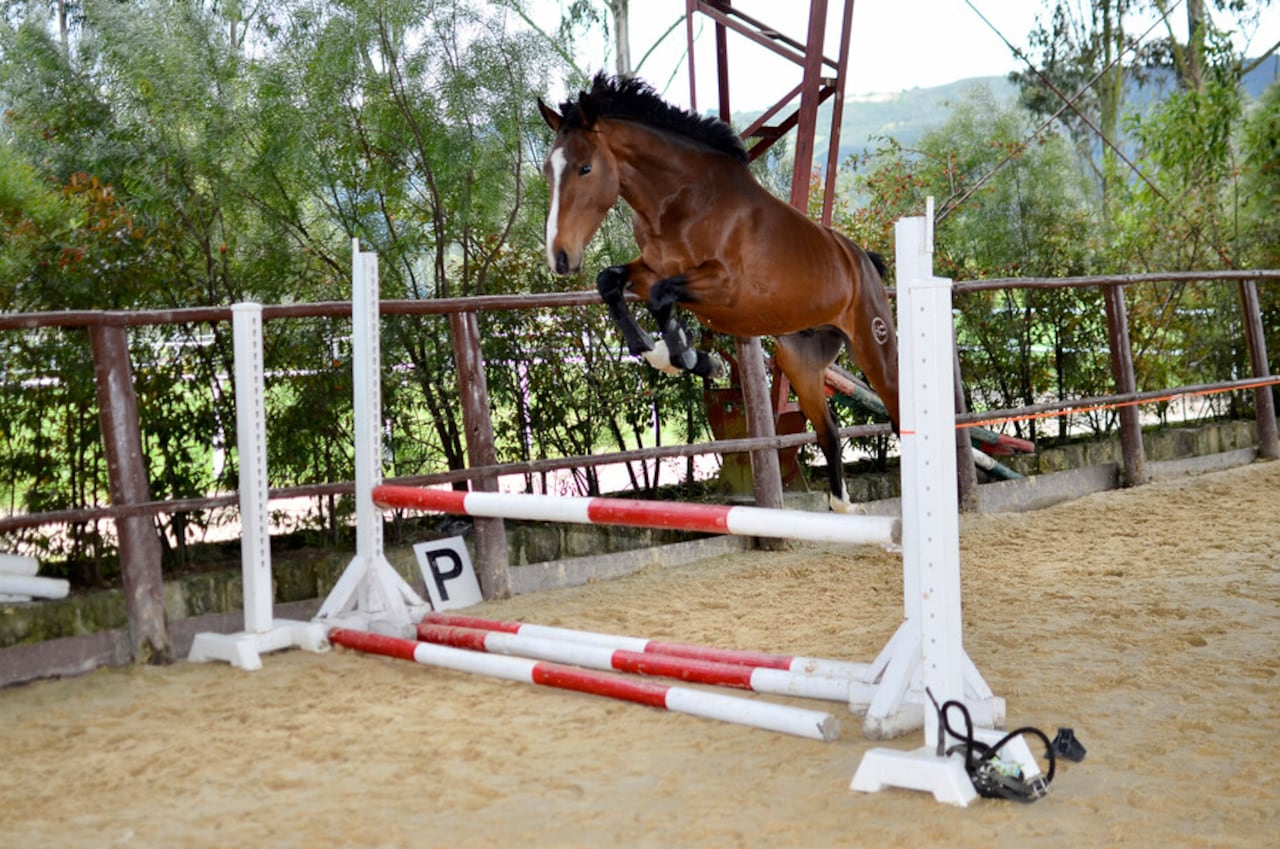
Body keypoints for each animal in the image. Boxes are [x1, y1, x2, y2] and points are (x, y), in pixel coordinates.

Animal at [537, 73, 900, 513]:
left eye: (585, 168)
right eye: (548, 171)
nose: (560, 258)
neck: (682, 201)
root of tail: (862, 260)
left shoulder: (727, 287)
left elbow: (661, 297)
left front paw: (697, 360)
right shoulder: (652, 270)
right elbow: (613, 283)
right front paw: (669, 354)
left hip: (875, 349)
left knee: (899, 413)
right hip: (802, 362)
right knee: (828, 431)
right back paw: (843, 504)